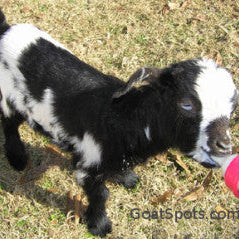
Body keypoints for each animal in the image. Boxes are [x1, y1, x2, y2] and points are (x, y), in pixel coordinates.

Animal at [0, 9, 238, 237]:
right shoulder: (87, 165)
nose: (224, 145)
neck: (123, 118)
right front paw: (99, 226)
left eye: (232, 107)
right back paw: (17, 158)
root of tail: (6, 29)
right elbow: (101, 195)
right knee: (9, 125)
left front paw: (126, 178)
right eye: (186, 104)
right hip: (9, 99)